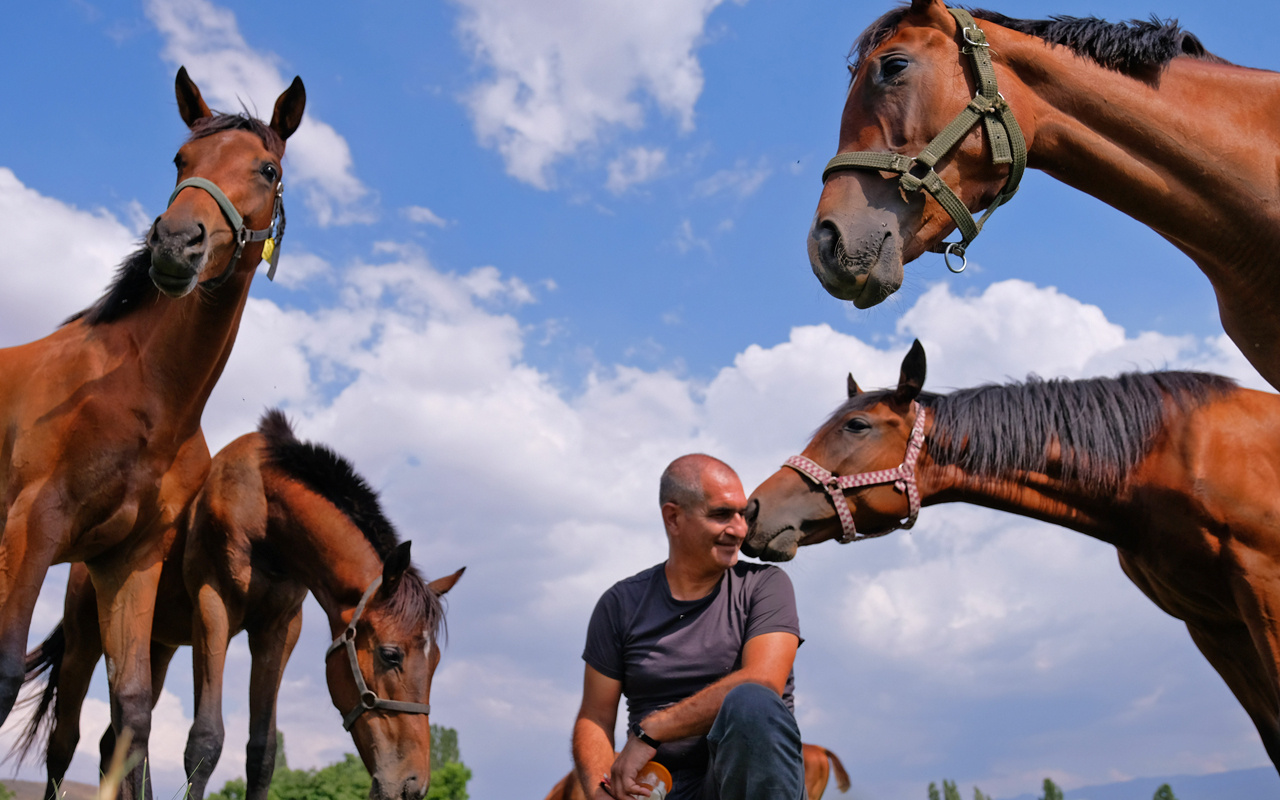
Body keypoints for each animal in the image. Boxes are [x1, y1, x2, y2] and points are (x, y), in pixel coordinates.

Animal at [0, 67, 304, 793]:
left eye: (269, 168)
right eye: (180, 159)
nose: (175, 243)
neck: (144, 394)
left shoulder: (129, 560)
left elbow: (132, 713)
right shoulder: (32, 526)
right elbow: (4, 677)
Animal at [16, 412, 465, 798]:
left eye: (436, 662)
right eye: (391, 655)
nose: (412, 785)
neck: (266, 516)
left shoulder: (278, 631)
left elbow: (262, 752)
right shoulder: (214, 610)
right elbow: (205, 740)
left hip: (155, 648)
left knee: (115, 742)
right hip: (85, 643)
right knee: (63, 742)